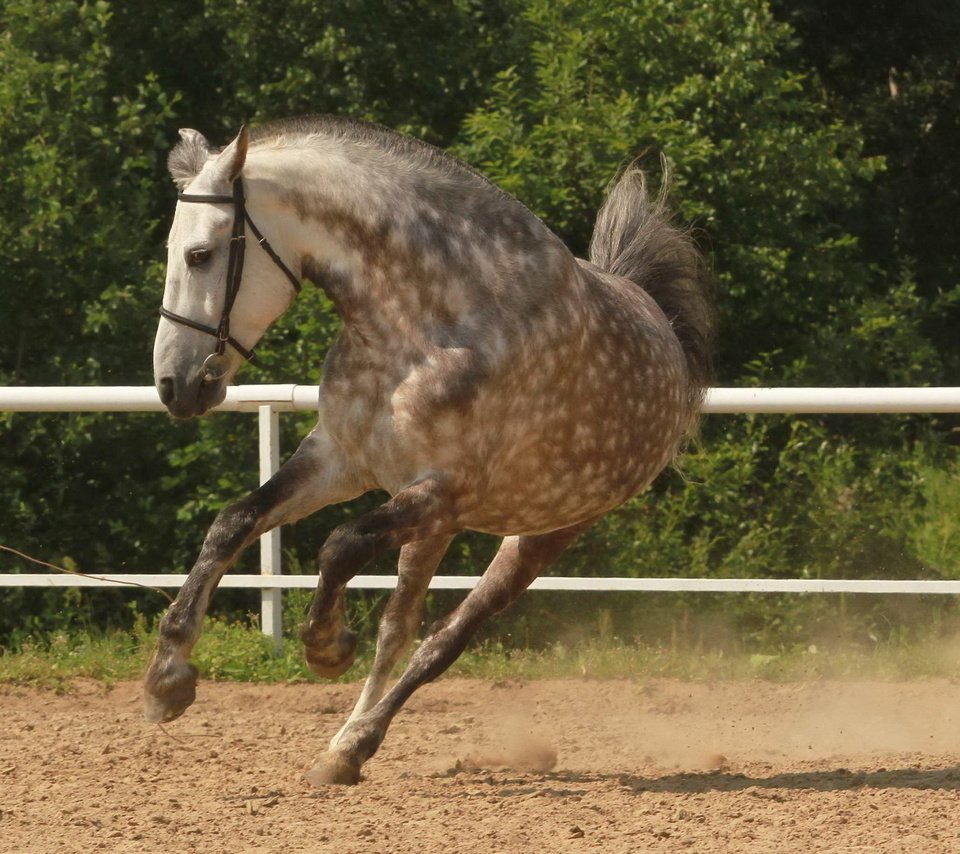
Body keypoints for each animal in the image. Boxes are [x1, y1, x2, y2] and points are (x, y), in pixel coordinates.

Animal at [144, 117, 712, 784]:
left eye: (200, 255)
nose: (174, 386)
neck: (423, 325)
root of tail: (658, 321)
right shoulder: (339, 460)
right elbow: (233, 523)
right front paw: (168, 678)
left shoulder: (443, 490)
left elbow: (340, 545)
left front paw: (327, 646)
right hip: (435, 527)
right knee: (399, 628)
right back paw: (342, 747)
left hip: (537, 533)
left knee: (442, 638)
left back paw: (355, 742)